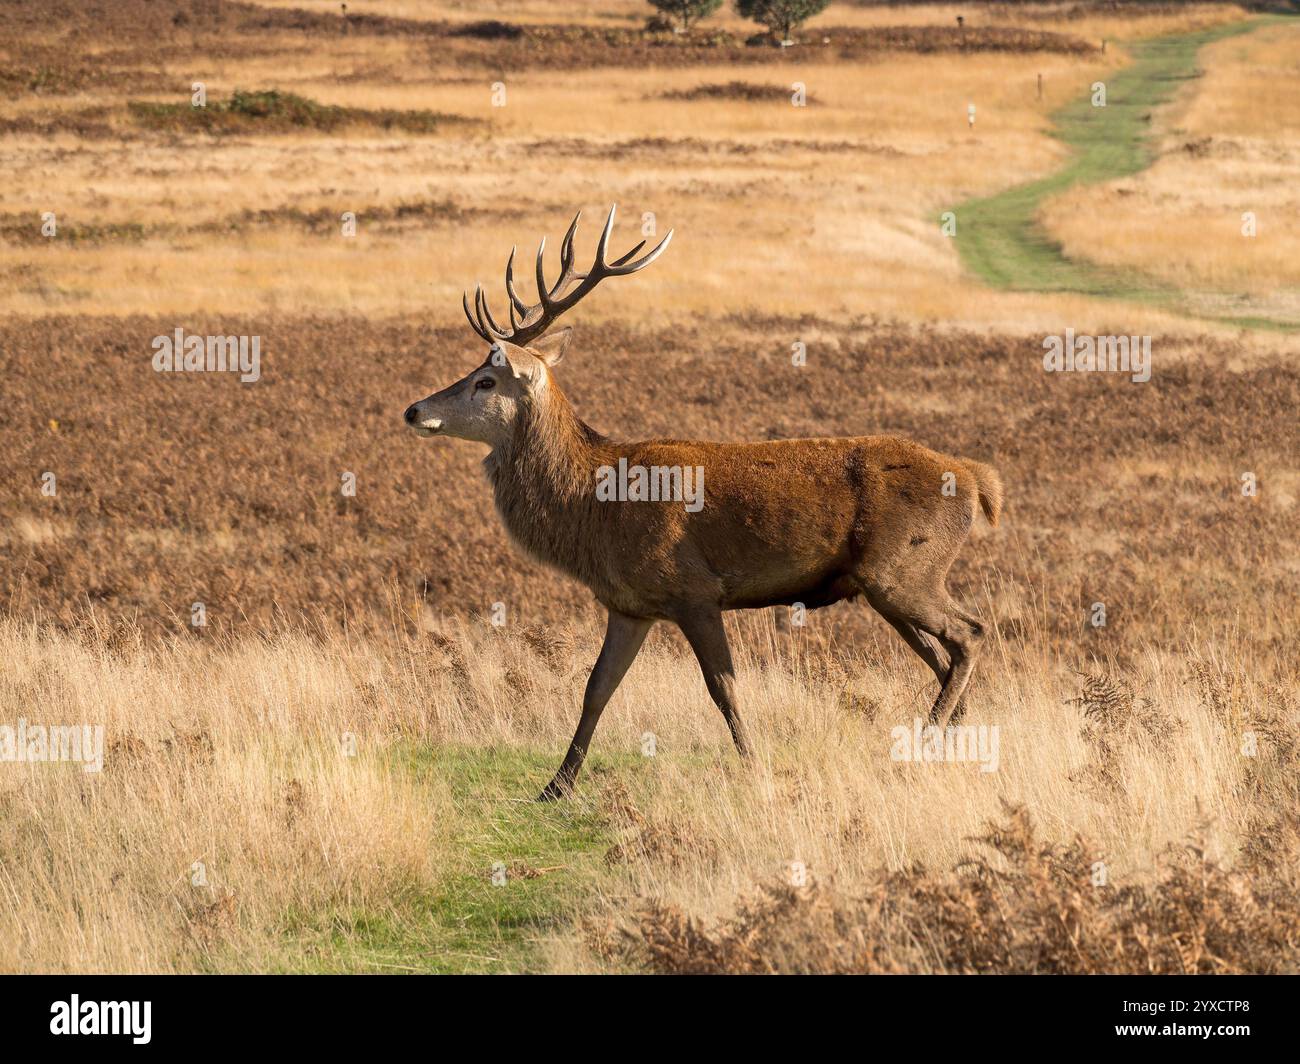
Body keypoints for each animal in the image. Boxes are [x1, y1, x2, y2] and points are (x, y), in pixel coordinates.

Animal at [404, 206, 1003, 801]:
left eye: (485, 380)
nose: (413, 410)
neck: (597, 507)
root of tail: (978, 481)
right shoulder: (629, 604)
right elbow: (597, 688)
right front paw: (556, 787)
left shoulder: (694, 589)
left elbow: (724, 689)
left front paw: (755, 768)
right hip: (885, 583)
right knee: (944, 656)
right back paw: (951, 744)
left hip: (904, 568)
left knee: (969, 634)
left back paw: (924, 744)